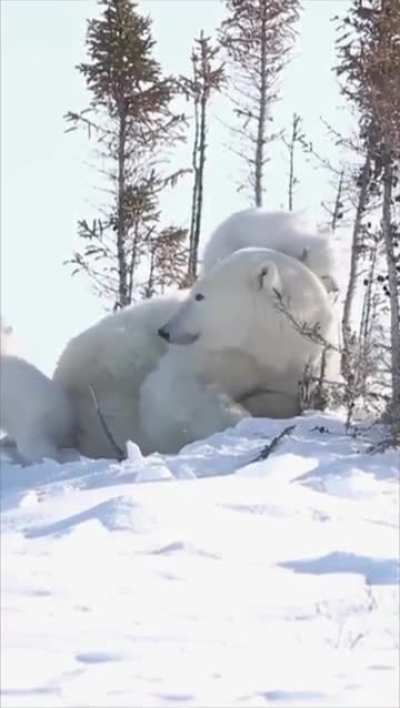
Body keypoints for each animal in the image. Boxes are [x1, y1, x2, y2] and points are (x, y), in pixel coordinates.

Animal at [53, 247, 333, 459]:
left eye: (199, 296)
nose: (164, 331)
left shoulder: (295, 366)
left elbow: (282, 397)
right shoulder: (213, 353)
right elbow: (170, 390)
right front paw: (238, 418)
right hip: (114, 360)